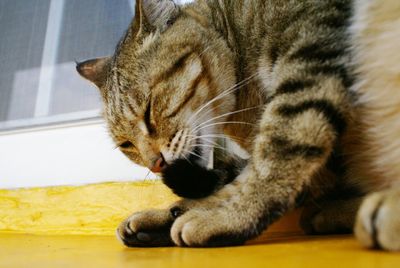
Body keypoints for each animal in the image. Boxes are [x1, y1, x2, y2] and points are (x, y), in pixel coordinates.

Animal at [76, 0, 400, 251]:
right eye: (126, 145)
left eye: (149, 109)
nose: (155, 163)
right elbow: (230, 182)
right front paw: (168, 216)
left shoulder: (312, 52)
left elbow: (275, 157)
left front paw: (225, 219)